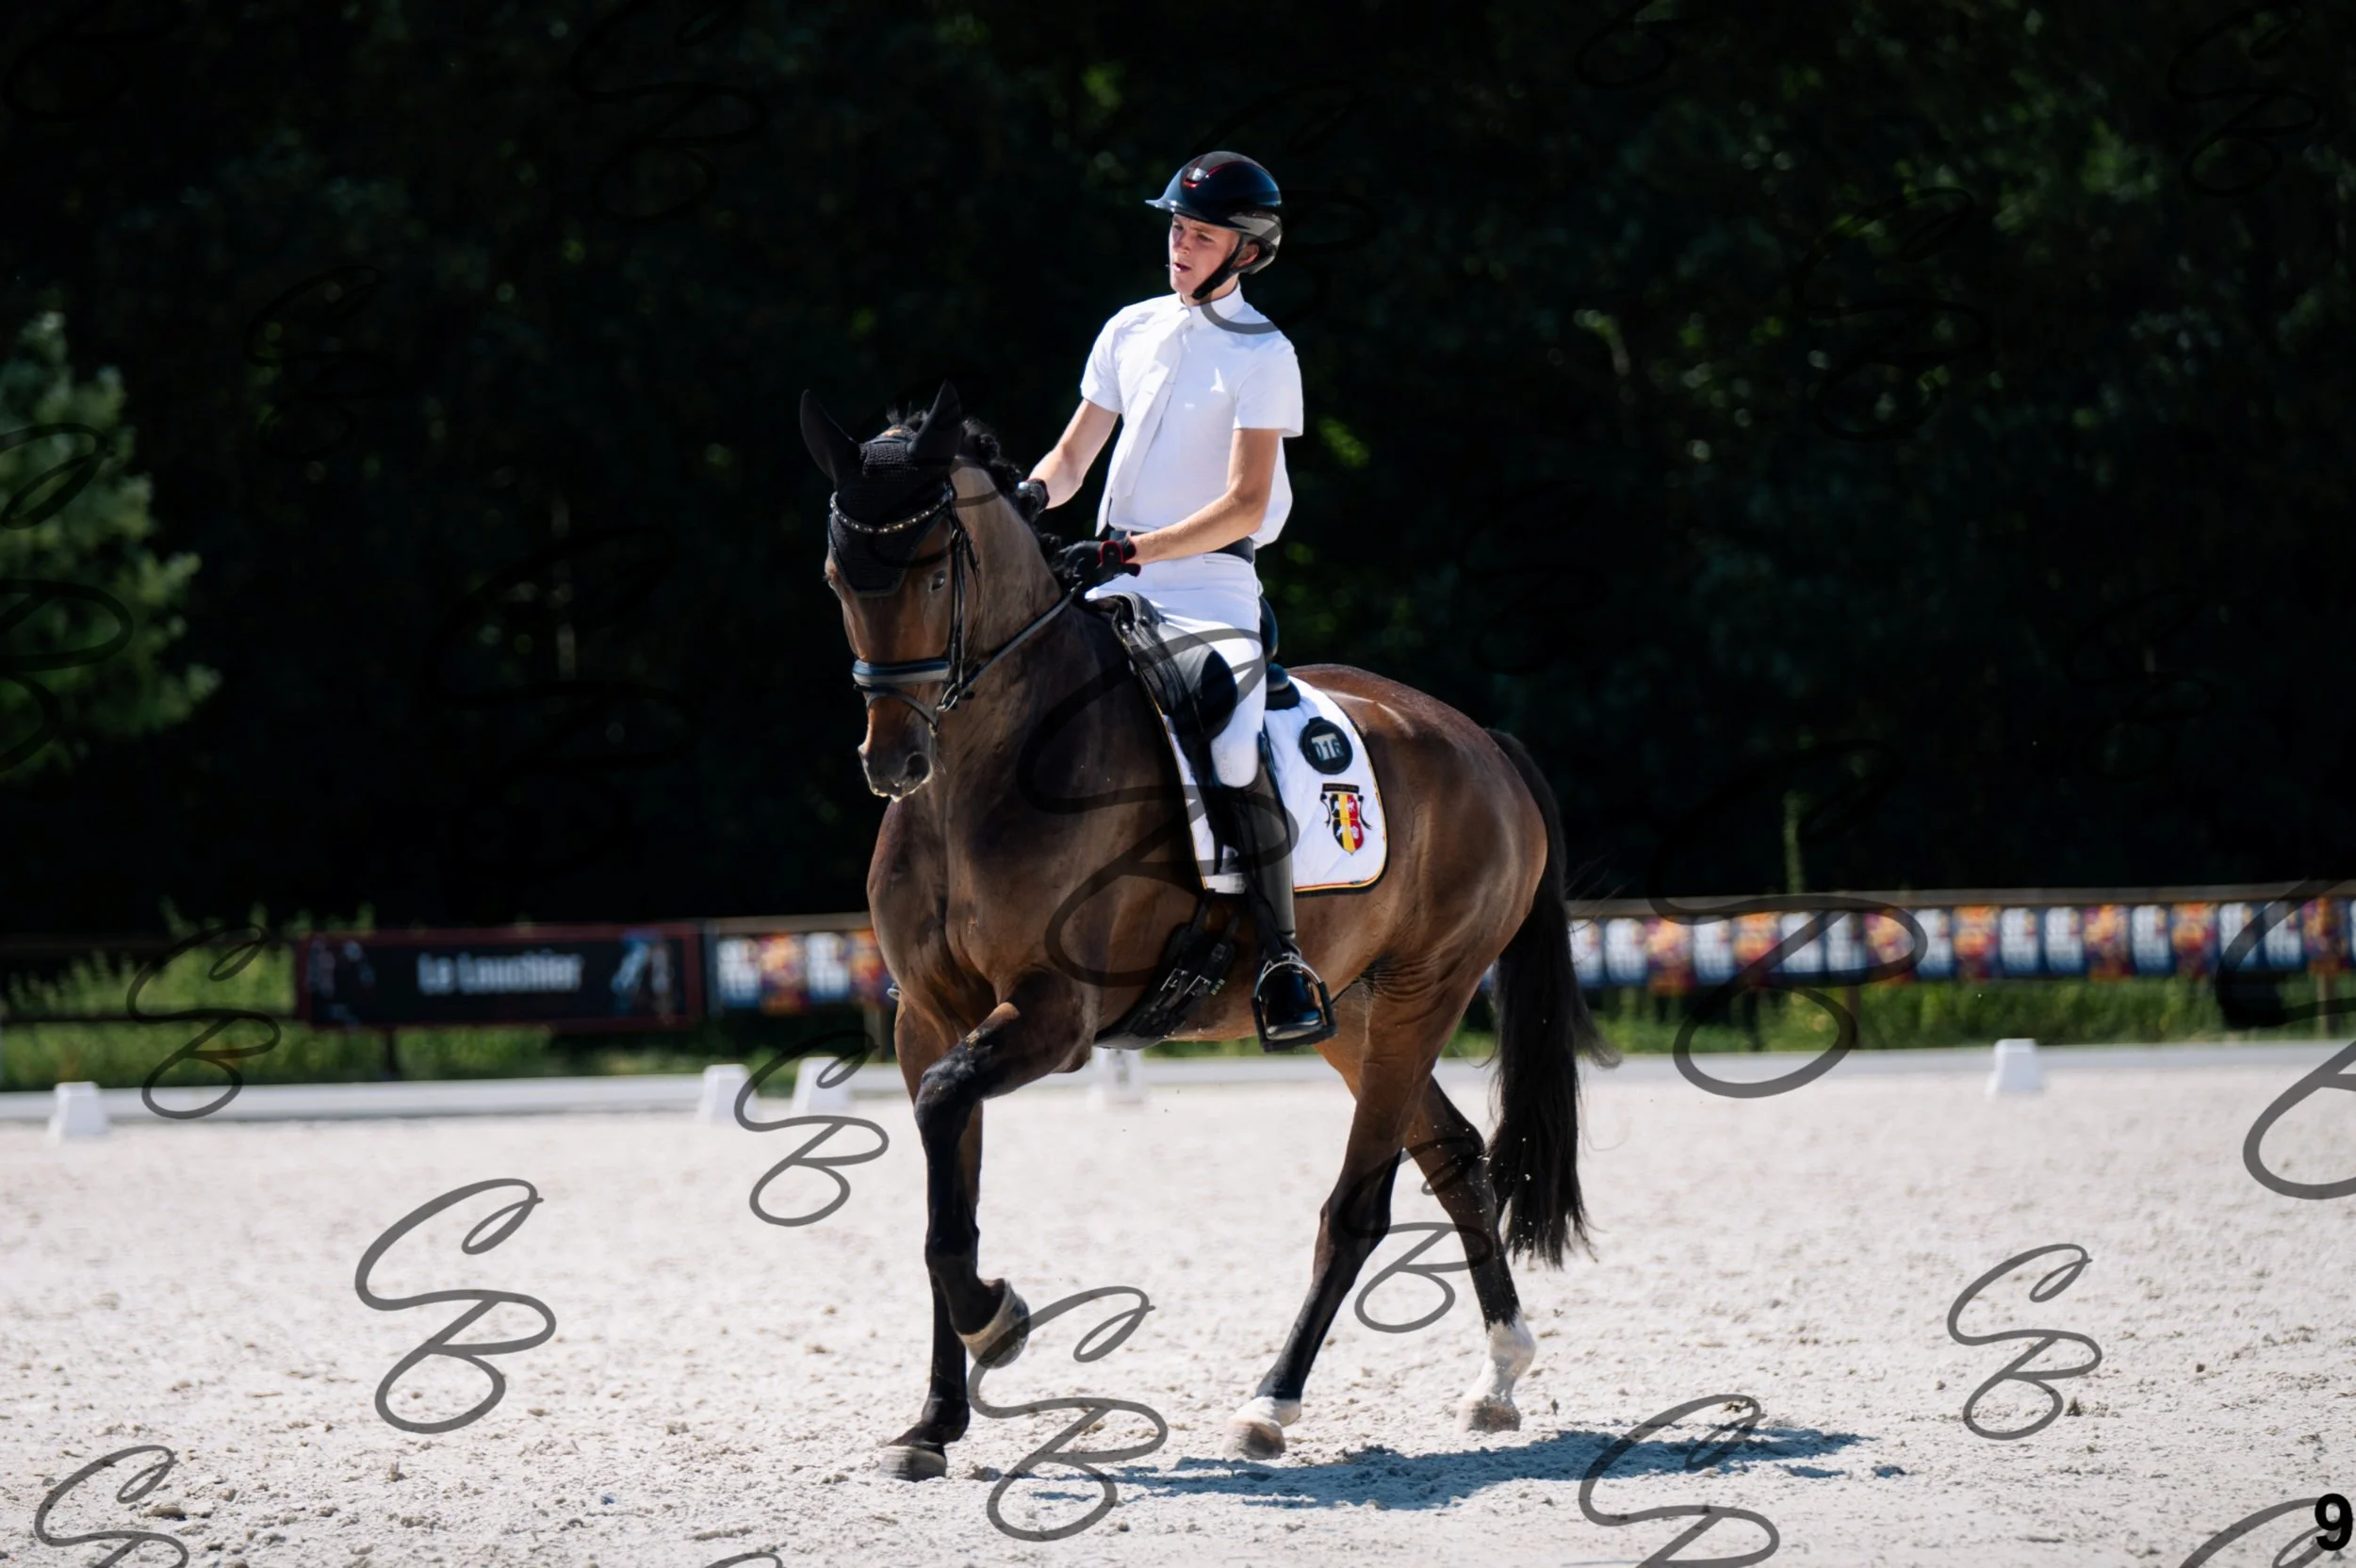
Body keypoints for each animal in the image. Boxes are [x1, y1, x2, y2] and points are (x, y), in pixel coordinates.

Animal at [801, 380, 1616, 1477]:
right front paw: (933, 1419)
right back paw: (1496, 1378)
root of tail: (1481, 740)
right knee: (1453, 1157)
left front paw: (998, 1322)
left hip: (1423, 992)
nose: (893, 762)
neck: (981, 774)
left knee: (1359, 1206)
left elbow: (944, 1140)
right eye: (840, 576)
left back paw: (1270, 1402)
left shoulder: (1055, 1016)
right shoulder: (927, 1019)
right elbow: (944, 1199)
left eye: (935, 571)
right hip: (1356, 1010)